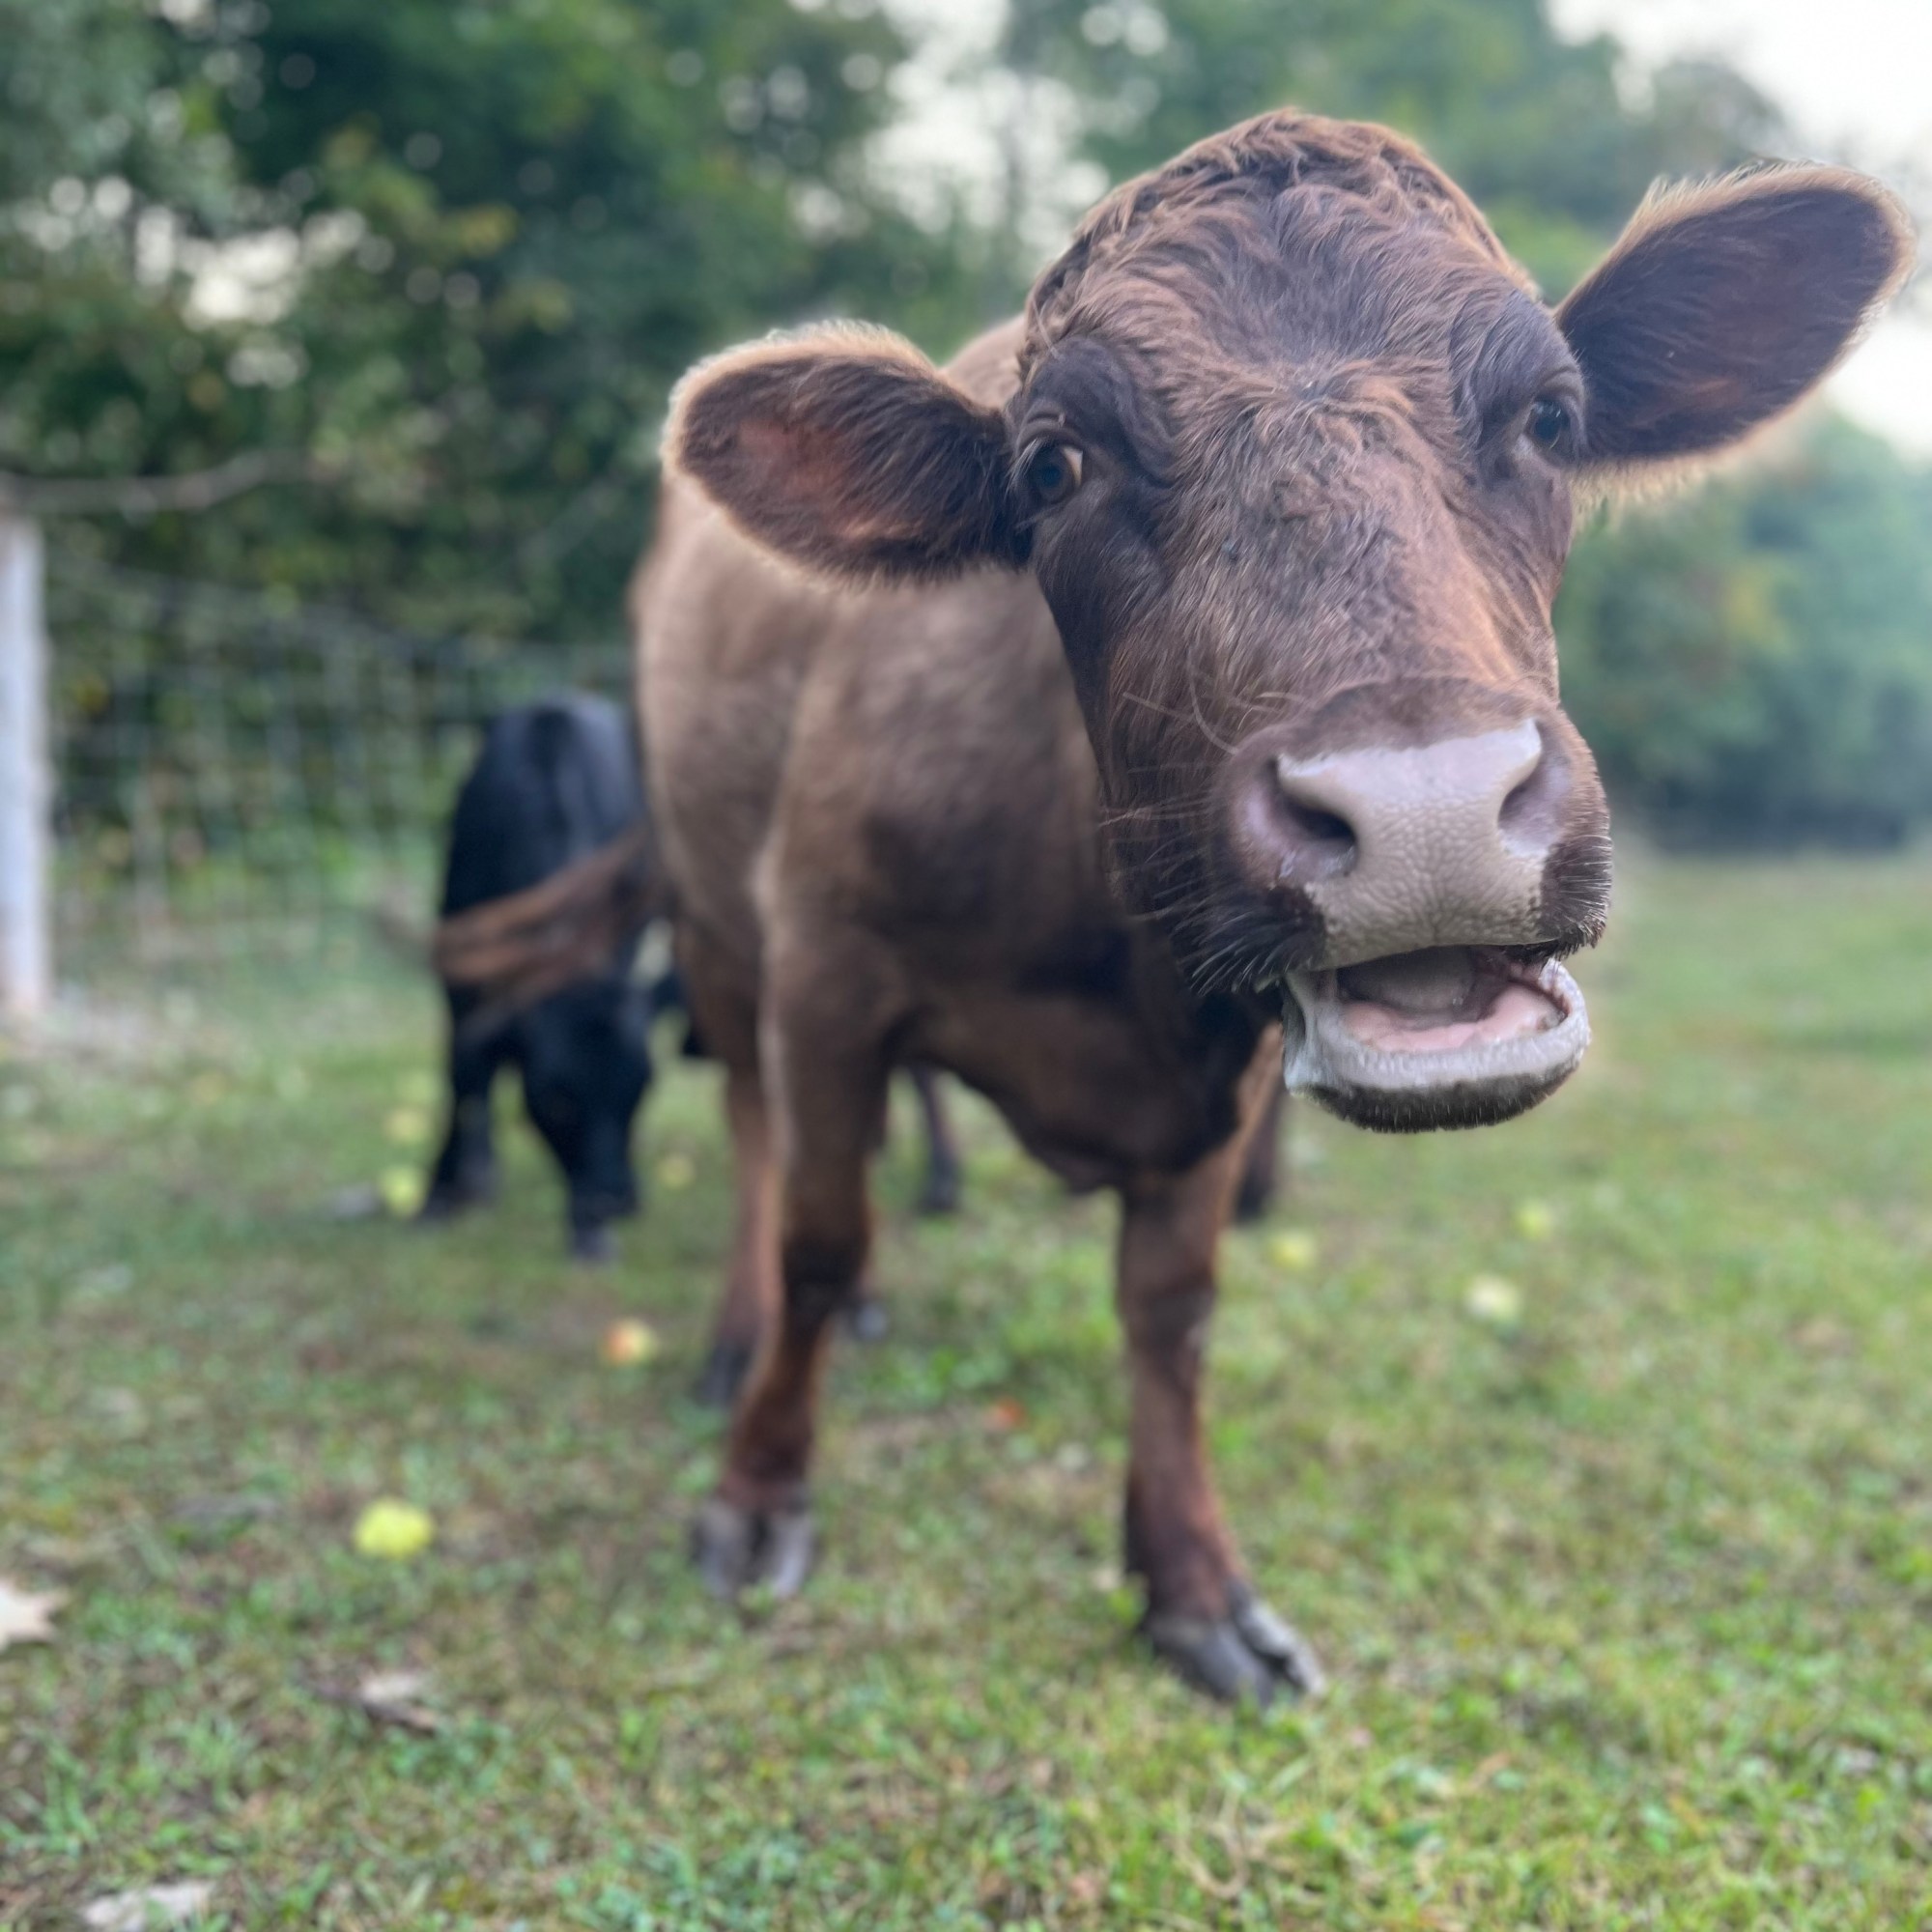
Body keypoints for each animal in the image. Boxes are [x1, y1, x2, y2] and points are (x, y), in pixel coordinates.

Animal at [636, 112, 1910, 1701]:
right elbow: (817, 1238)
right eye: (1052, 465)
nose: (1426, 808)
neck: (1107, 960)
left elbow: (1173, 1307)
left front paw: (1191, 1585)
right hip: (710, 915)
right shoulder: (824, 964)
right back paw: (730, 1334)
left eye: (1551, 416)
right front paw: (758, 1494)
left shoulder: (1222, 1071)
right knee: (755, 1131)